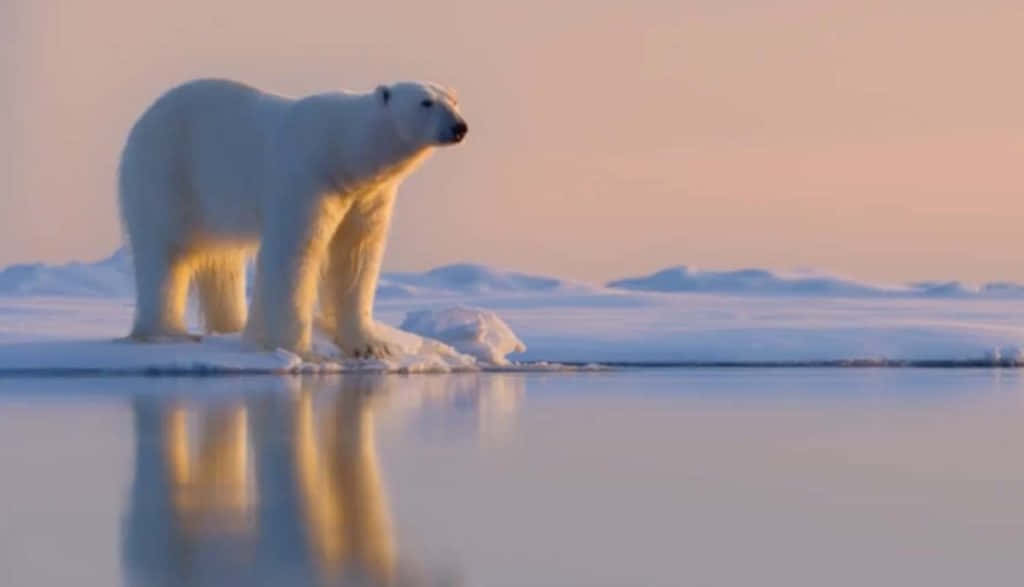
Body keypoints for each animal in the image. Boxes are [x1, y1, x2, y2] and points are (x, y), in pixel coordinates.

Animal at [118, 78, 467, 358]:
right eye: (426, 102)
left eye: (453, 99)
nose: (459, 127)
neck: (340, 149)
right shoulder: (306, 177)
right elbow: (295, 250)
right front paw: (294, 348)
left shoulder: (368, 195)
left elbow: (357, 255)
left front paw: (371, 345)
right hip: (168, 172)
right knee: (166, 251)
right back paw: (165, 332)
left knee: (223, 259)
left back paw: (232, 327)